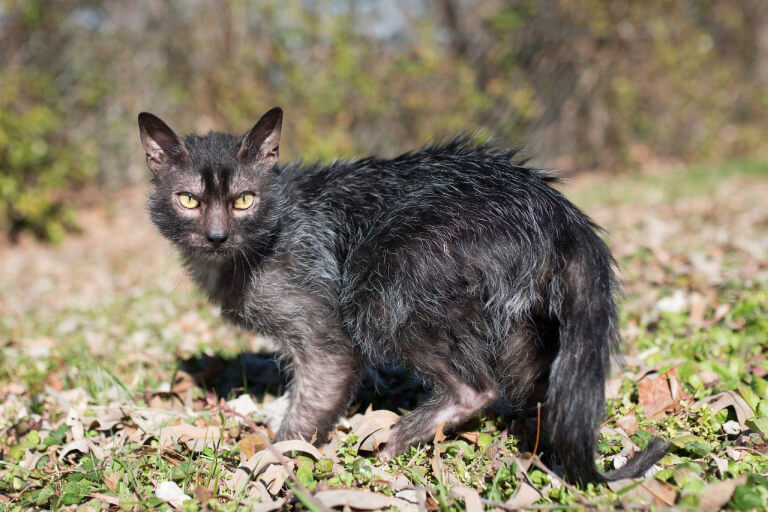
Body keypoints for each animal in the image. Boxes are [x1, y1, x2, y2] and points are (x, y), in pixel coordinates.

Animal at [136, 108, 664, 484]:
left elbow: (306, 411)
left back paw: (401, 439)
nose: (217, 236)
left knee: (476, 388)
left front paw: (268, 468)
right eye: (189, 200)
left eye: (245, 199)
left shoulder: (327, 339)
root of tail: (558, 211)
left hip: (382, 284)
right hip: (518, 323)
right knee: (534, 388)